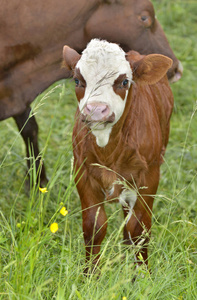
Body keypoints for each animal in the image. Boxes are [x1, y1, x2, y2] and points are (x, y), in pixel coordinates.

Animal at [63, 39, 174, 272]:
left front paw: (142, 273)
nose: (96, 110)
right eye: (78, 80)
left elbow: (139, 228)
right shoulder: (82, 171)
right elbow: (94, 227)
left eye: (124, 82)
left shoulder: (149, 175)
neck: (108, 148)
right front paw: (90, 274)